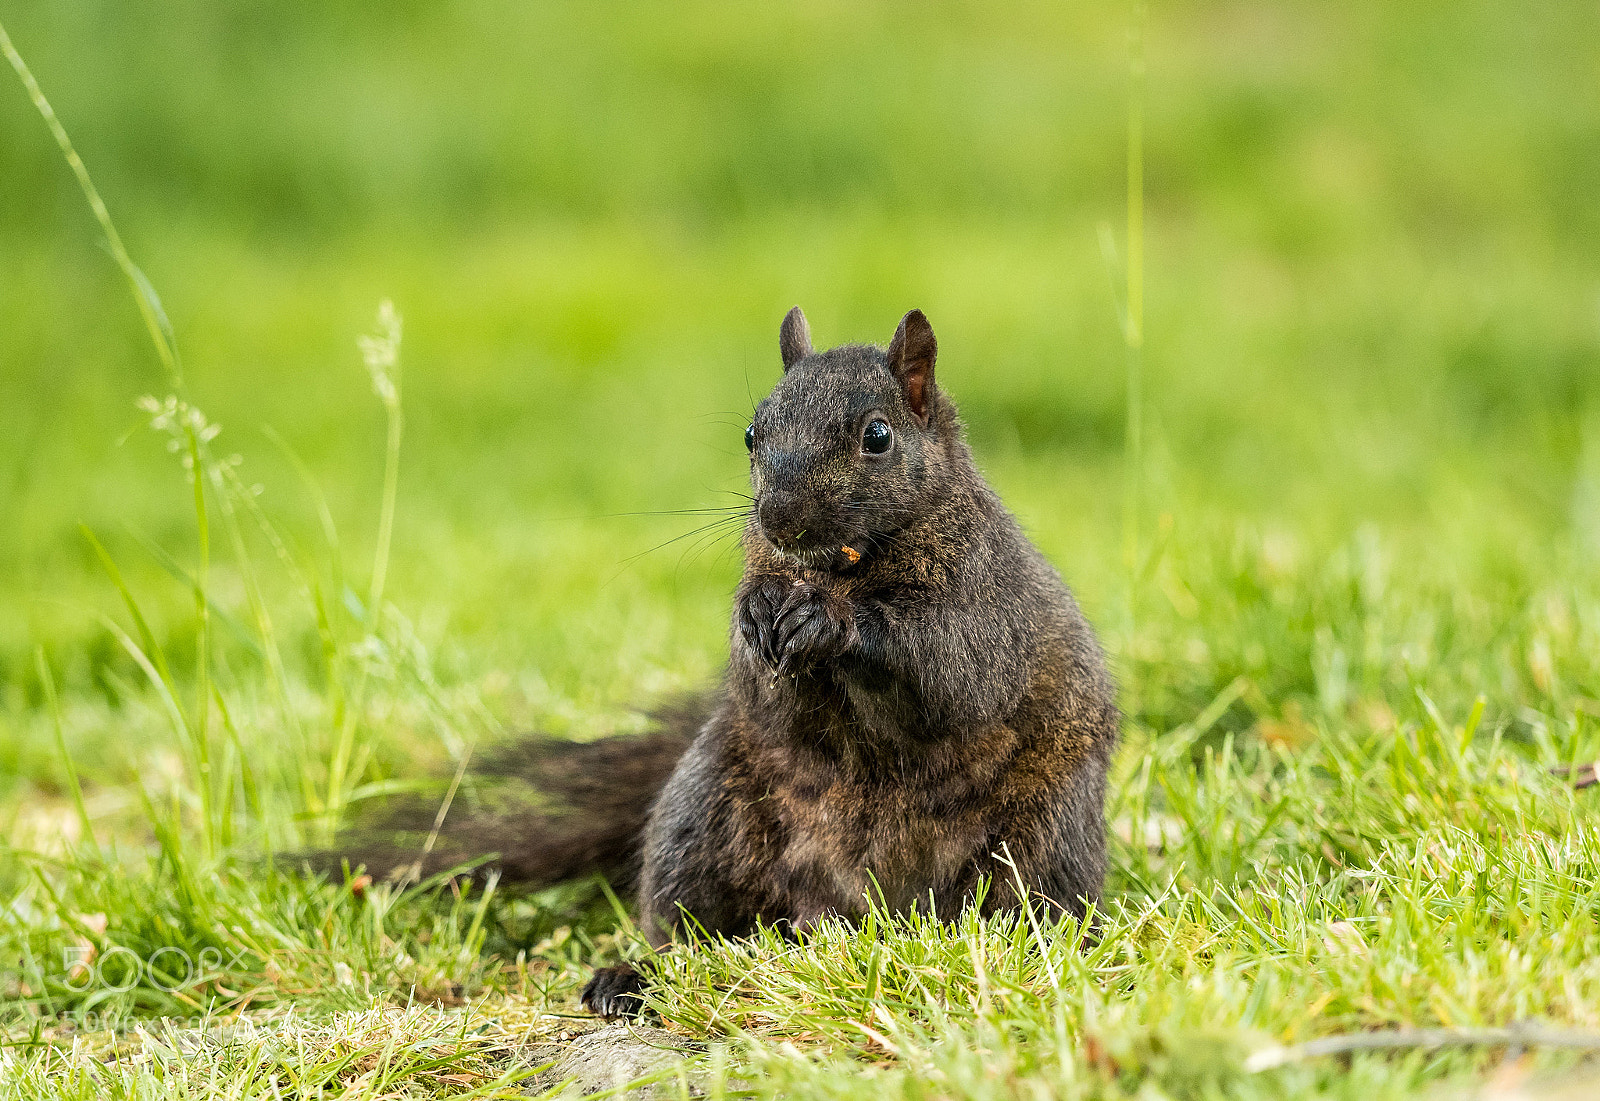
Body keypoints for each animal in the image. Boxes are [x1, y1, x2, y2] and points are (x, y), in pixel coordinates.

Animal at [335, 307, 1119, 1018]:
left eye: (878, 436)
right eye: (752, 433)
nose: (779, 518)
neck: (842, 567)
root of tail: (864, 912)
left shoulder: (986, 601)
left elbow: (950, 673)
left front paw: (831, 622)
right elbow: (765, 680)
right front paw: (755, 615)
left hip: (1041, 835)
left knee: (1024, 908)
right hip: (703, 815)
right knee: (690, 928)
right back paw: (631, 977)